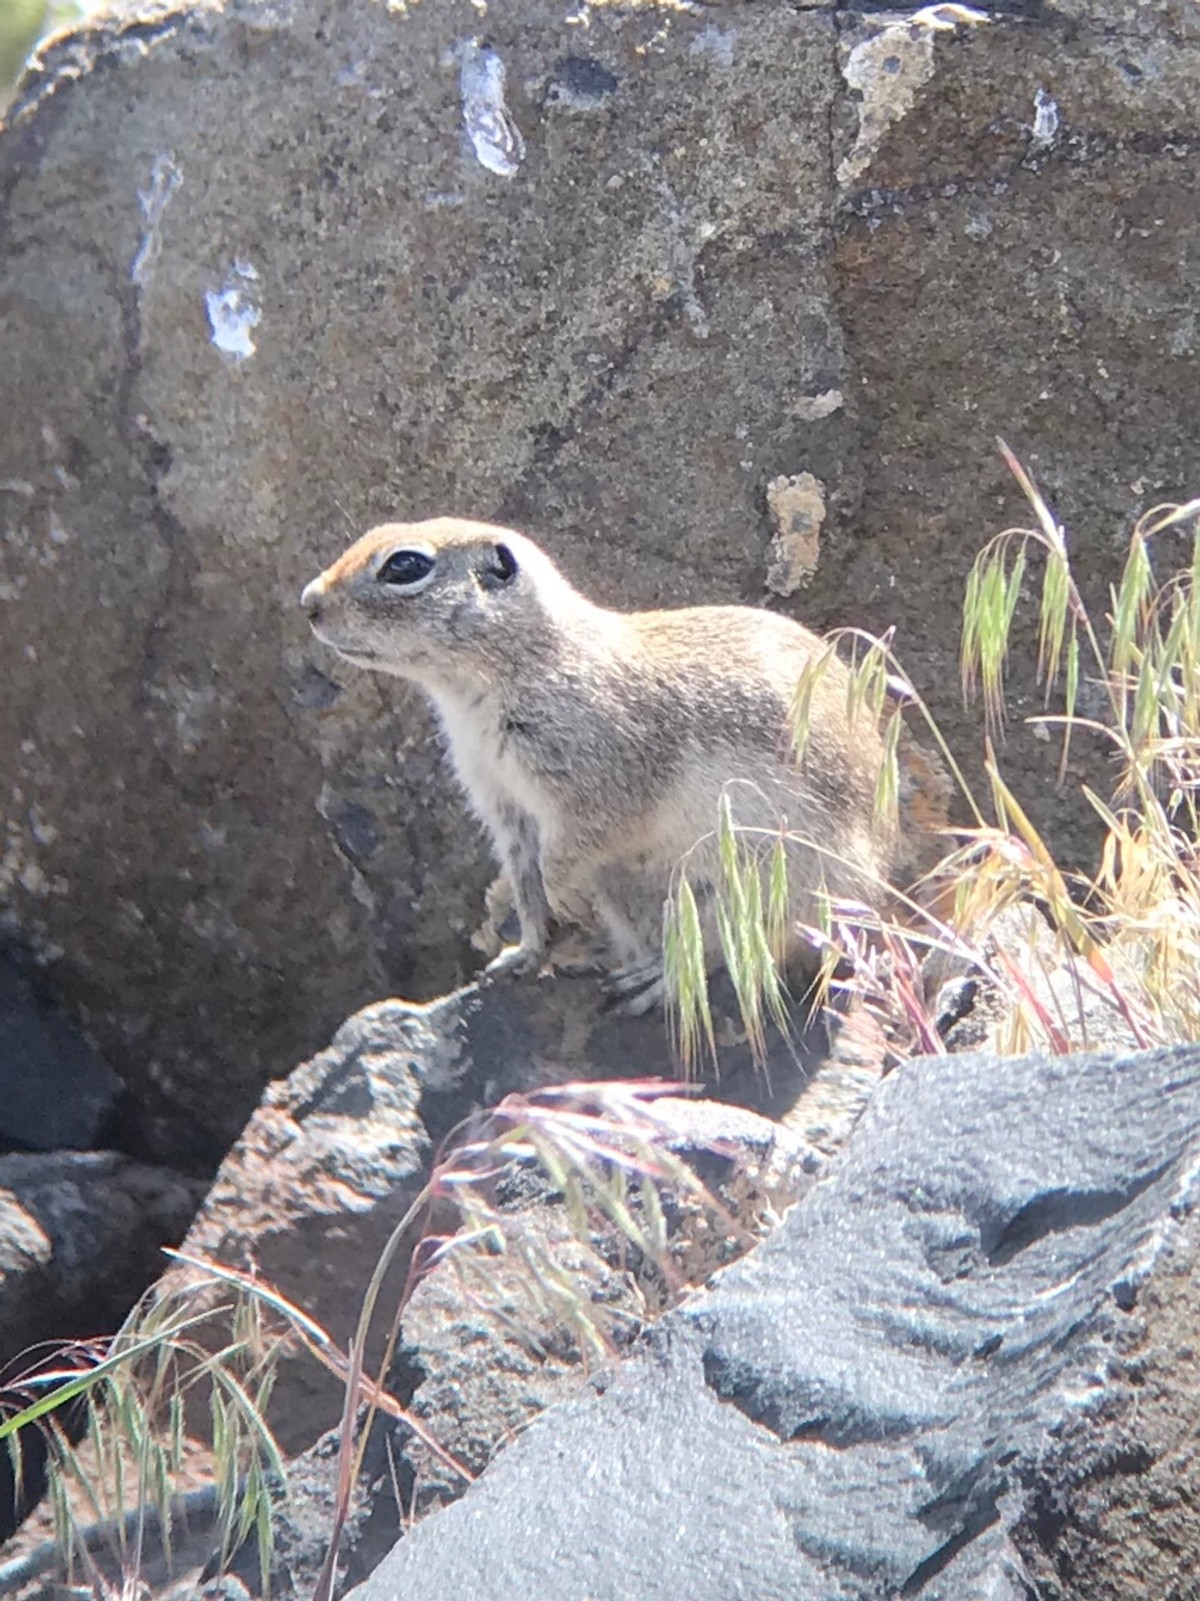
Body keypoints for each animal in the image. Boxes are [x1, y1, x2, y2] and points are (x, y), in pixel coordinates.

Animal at [300, 518, 949, 1011]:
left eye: (405, 566)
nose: (308, 602)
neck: (525, 666)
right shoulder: (504, 806)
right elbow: (525, 885)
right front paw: (522, 955)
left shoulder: (594, 788)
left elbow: (566, 857)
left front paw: (564, 903)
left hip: (763, 882)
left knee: (742, 949)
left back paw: (653, 978)